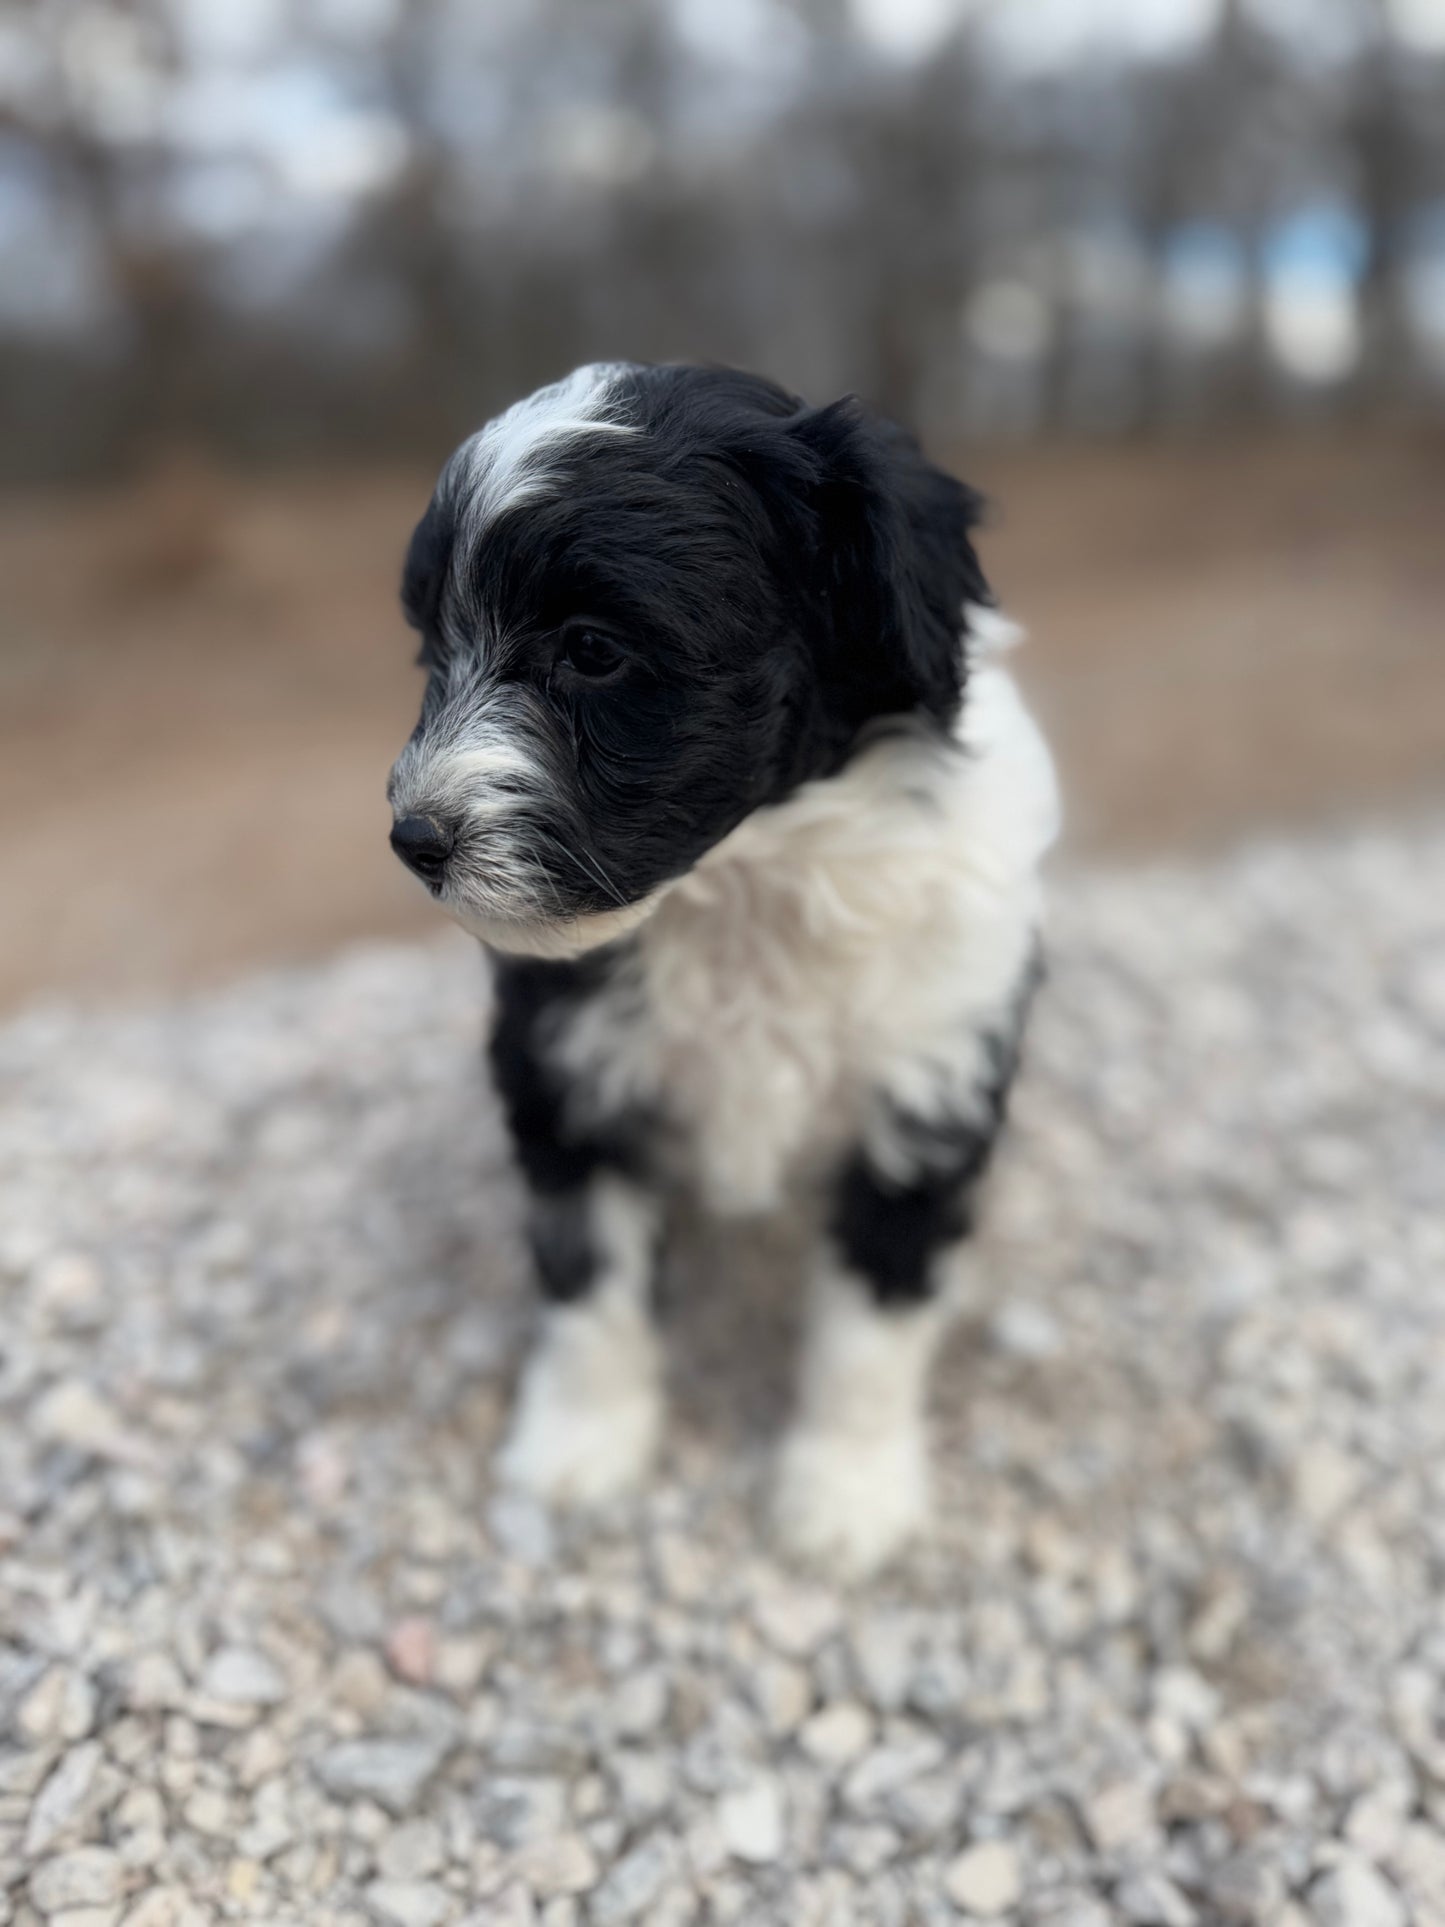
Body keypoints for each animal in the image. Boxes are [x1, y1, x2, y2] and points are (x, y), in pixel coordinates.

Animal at [391, 362, 1055, 1580]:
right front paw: (581, 1447)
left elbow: (872, 1320)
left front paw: (845, 1492)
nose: (413, 840)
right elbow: (590, 1279)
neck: (747, 880)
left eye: (591, 649)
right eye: (429, 651)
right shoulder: (565, 1075)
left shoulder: (929, 1083)